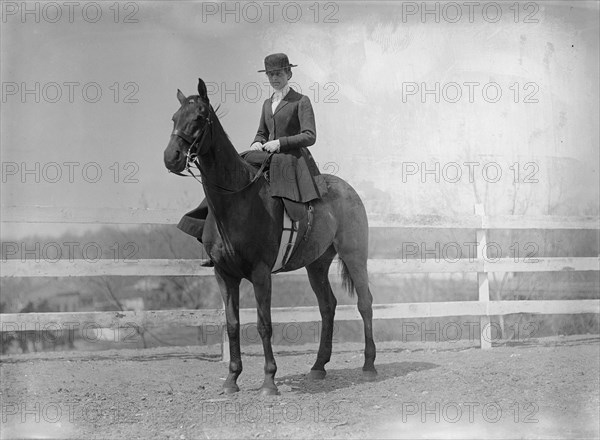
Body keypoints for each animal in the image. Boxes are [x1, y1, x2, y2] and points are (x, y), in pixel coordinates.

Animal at [164, 79, 376, 396]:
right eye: (175, 117)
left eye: (200, 117)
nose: (171, 158)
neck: (238, 199)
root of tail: (348, 189)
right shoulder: (224, 275)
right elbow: (233, 324)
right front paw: (231, 379)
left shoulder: (261, 274)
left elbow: (264, 324)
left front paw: (268, 381)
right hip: (316, 264)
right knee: (328, 306)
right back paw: (318, 367)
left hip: (354, 256)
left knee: (365, 303)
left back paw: (369, 365)